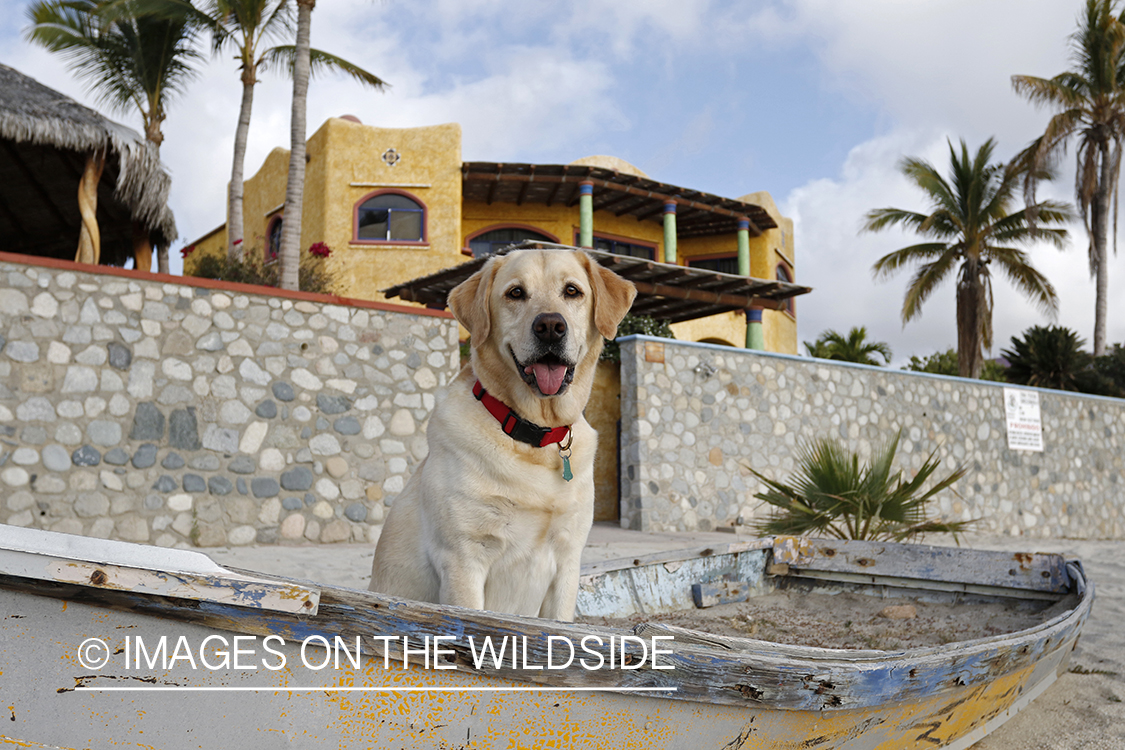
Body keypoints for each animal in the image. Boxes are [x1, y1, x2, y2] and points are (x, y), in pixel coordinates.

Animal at [369, 249, 634, 620]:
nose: (550, 326)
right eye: (515, 293)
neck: (534, 436)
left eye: (572, 291)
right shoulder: (463, 558)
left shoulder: (568, 562)